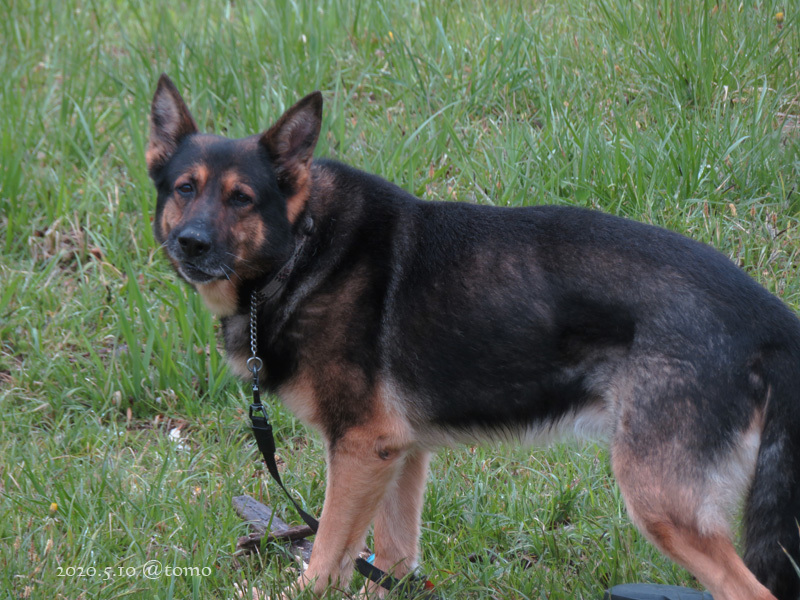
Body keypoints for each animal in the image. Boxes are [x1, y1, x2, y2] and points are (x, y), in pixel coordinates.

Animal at [147, 76, 800, 600]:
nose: (191, 244)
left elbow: (328, 553)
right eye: (185, 189)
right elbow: (393, 561)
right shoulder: (397, 454)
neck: (302, 246)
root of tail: (769, 317)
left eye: (242, 198)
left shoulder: (358, 449)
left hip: (661, 500)